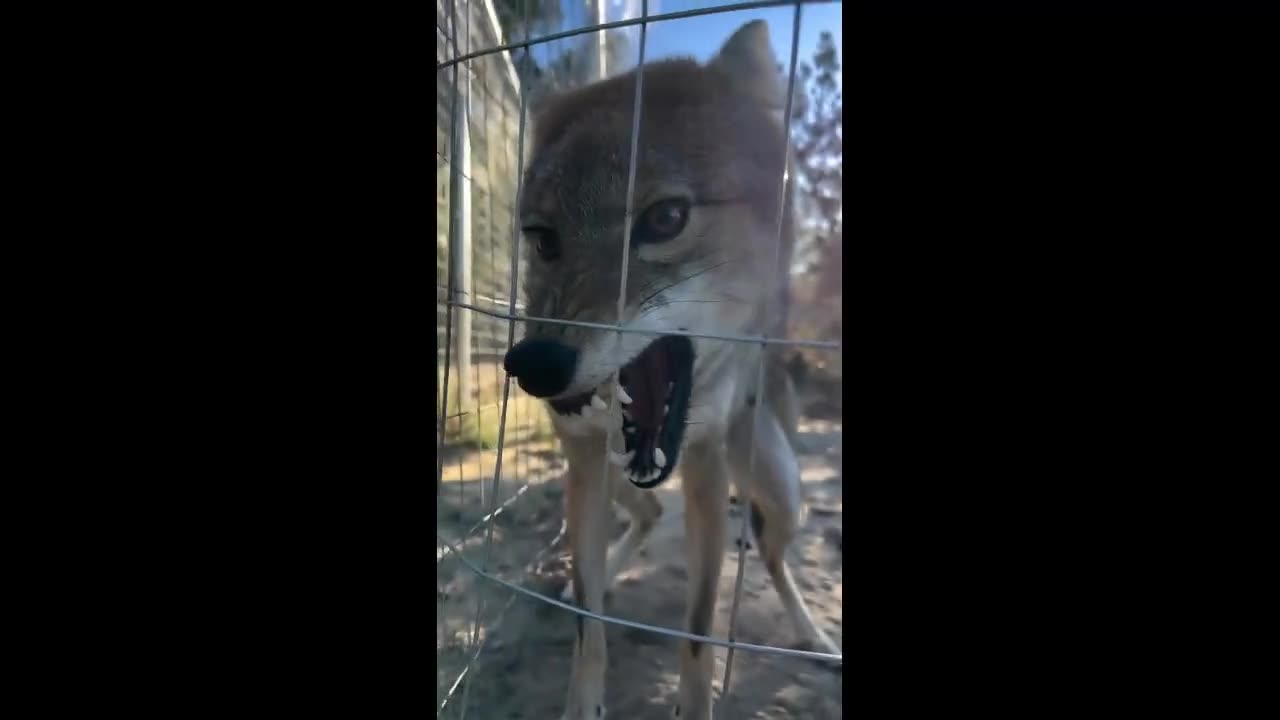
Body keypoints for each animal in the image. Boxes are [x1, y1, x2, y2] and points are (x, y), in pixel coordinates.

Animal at [502, 20, 841, 720]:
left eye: (665, 219)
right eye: (543, 238)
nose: (534, 365)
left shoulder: (708, 474)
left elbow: (700, 627)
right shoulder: (582, 464)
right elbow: (589, 622)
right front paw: (583, 698)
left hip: (782, 491)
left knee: (772, 558)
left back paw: (815, 637)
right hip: (607, 480)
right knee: (647, 517)